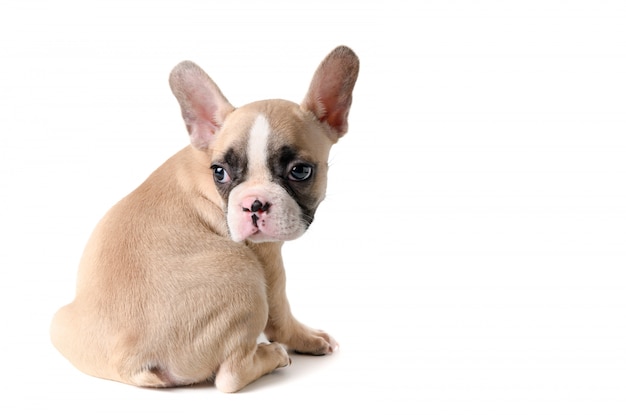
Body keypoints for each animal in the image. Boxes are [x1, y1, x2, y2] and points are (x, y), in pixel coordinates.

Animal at [51, 46, 358, 394]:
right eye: (220, 173)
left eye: (301, 171)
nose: (253, 203)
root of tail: (131, 363)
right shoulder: (266, 258)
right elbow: (281, 314)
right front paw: (308, 339)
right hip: (243, 272)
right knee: (230, 375)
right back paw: (274, 356)